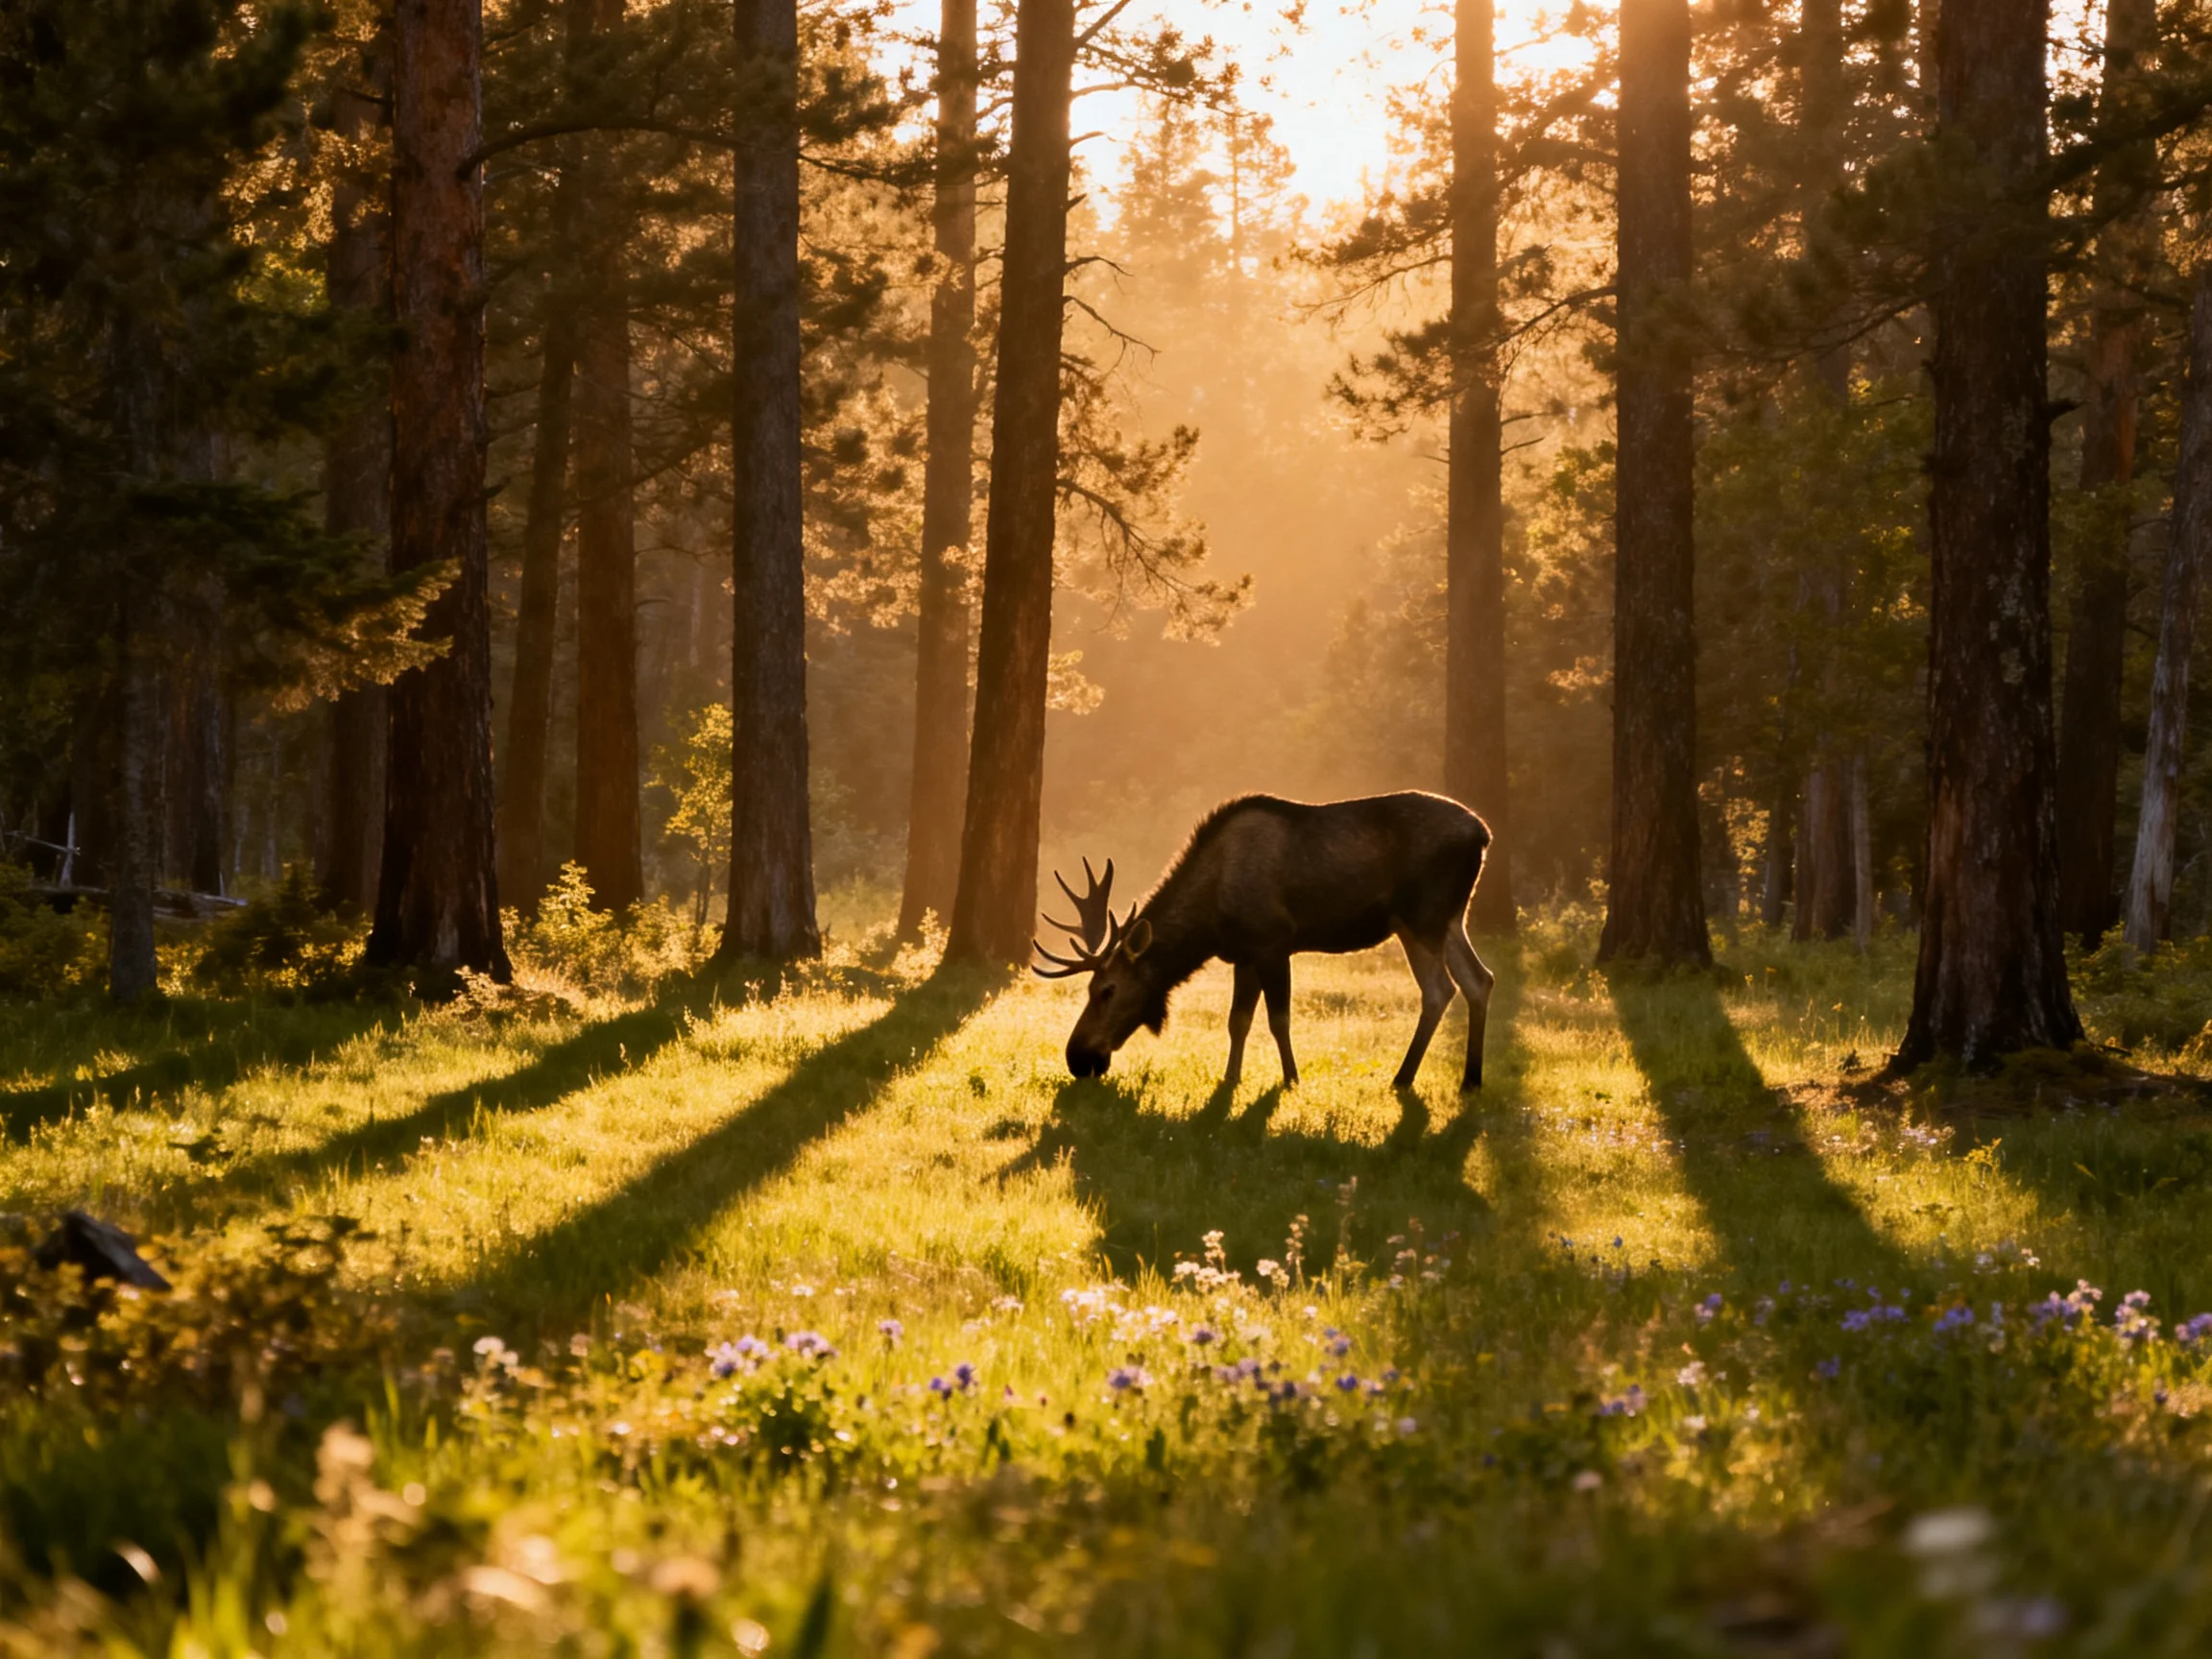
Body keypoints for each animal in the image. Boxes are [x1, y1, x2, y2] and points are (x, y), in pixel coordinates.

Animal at [1033, 792, 1496, 1093]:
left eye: (1106, 990)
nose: (1077, 1057)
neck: (1209, 921)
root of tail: (1483, 834)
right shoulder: (1244, 955)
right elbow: (1237, 1020)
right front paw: (1230, 1077)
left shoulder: (1273, 943)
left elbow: (1279, 1019)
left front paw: (1291, 1079)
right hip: (1450, 917)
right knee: (1480, 979)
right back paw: (1471, 1080)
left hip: (1422, 918)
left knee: (1440, 989)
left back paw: (1403, 1077)